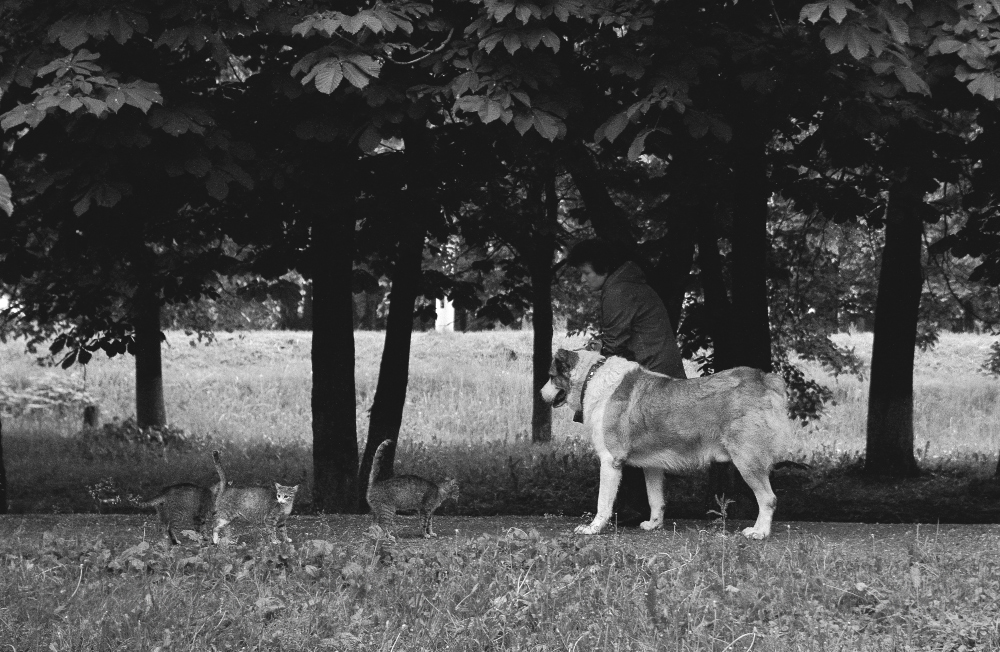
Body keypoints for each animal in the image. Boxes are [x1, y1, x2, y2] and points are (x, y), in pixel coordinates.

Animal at [544, 348, 792, 536]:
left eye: (551, 376)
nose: (540, 392)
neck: (591, 377)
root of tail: (764, 378)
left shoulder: (609, 461)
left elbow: (602, 503)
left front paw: (593, 528)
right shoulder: (652, 465)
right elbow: (656, 500)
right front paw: (654, 524)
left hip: (747, 462)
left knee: (768, 499)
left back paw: (759, 532)